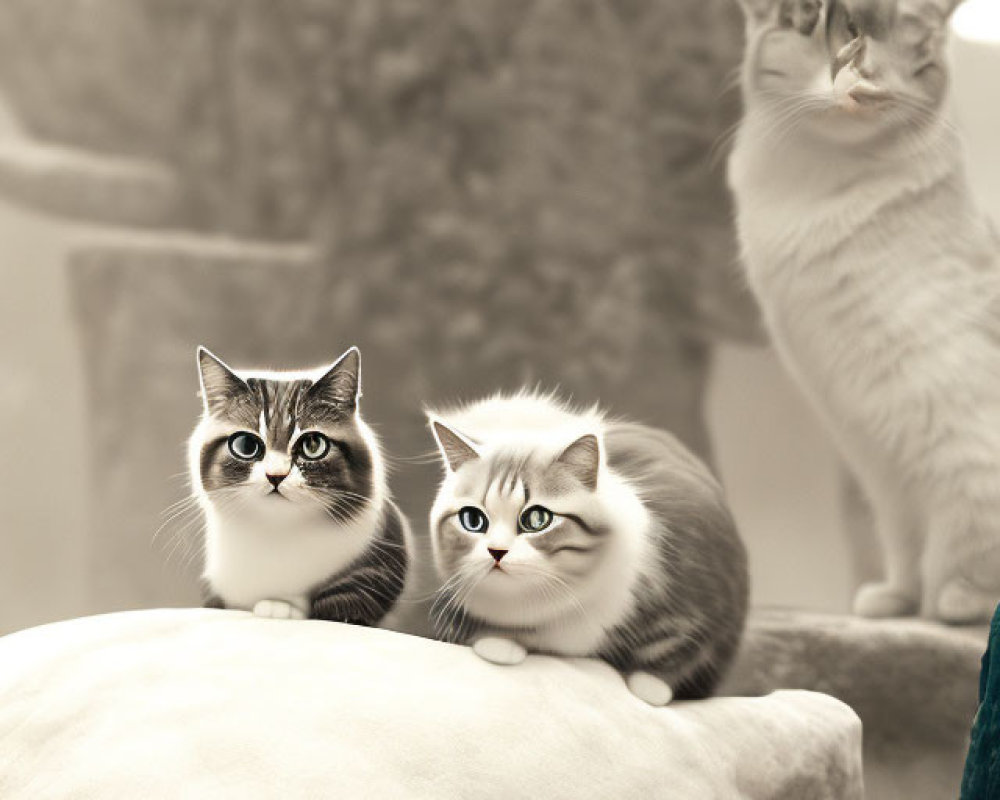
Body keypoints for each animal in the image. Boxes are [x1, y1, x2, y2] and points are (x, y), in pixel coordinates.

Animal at [189, 346, 408, 624]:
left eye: (312, 445)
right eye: (246, 446)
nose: (275, 476)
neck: (278, 532)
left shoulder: (384, 557)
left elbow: (344, 599)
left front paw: (281, 606)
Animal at [426, 394, 748, 708]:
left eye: (536, 519)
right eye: (473, 520)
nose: (497, 551)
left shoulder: (698, 600)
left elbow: (682, 650)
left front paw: (649, 688)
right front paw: (499, 644)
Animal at [728, 0, 1000, 620]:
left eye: (919, 60)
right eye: (846, 34)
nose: (870, 87)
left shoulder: (958, 429)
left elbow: (965, 522)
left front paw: (959, 599)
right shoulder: (876, 453)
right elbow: (905, 538)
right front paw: (898, 600)